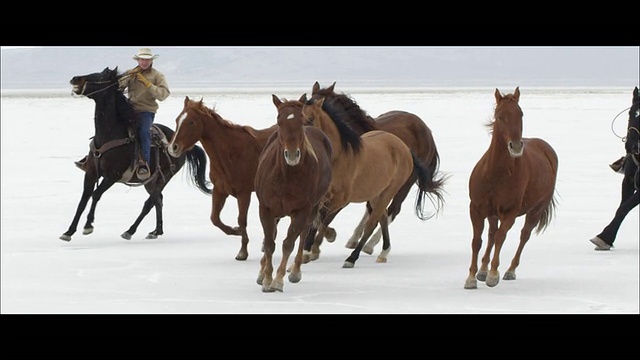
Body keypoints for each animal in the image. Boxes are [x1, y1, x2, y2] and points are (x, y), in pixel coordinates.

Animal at [60, 67, 211, 242]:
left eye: (99, 76)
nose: (75, 78)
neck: (109, 135)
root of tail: (183, 146)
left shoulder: (112, 176)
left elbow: (96, 195)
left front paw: (88, 226)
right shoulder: (91, 173)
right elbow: (83, 200)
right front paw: (68, 232)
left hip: (163, 178)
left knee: (151, 202)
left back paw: (130, 231)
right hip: (150, 181)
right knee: (158, 200)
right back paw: (155, 231)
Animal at [254, 94, 332, 292]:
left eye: (301, 120)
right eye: (278, 120)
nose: (291, 155)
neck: (286, 176)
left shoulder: (302, 210)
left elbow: (288, 243)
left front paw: (277, 280)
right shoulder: (265, 208)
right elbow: (269, 243)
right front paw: (266, 278)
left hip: (312, 208)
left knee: (303, 234)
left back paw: (296, 271)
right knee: (273, 235)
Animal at [302, 94, 444, 268]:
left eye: (310, 119)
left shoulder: (341, 199)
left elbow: (322, 220)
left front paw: (313, 248)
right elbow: (317, 220)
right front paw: (310, 250)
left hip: (397, 188)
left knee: (383, 216)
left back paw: (358, 254)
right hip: (377, 192)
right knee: (380, 215)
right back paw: (377, 249)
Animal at [464, 87, 560, 290]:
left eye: (520, 113)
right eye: (500, 116)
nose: (515, 146)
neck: (496, 173)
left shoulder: (510, 213)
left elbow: (501, 237)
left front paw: (493, 275)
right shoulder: (476, 209)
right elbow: (477, 241)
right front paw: (472, 277)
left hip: (535, 211)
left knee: (524, 236)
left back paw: (510, 270)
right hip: (492, 213)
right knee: (491, 234)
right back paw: (482, 270)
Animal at [592, 87, 640, 250]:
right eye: (630, 112)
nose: (631, 145)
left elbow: (625, 207)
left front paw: (604, 236)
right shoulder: (628, 180)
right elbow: (621, 207)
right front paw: (606, 238)